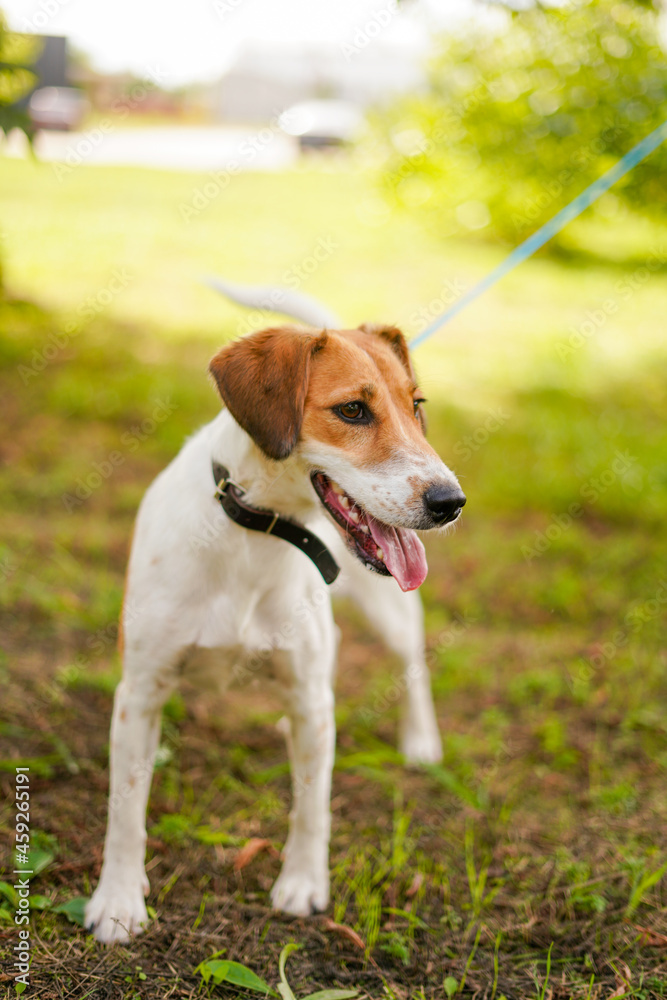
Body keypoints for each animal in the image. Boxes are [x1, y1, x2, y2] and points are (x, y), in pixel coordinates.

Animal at [85, 286, 464, 940]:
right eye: (353, 411)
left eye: (417, 407)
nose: (451, 502)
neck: (256, 532)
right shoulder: (139, 690)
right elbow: (125, 807)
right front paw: (117, 901)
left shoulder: (310, 694)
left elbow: (312, 805)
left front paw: (303, 884)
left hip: (388, 614)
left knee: (410, 662)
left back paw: (420, 739)